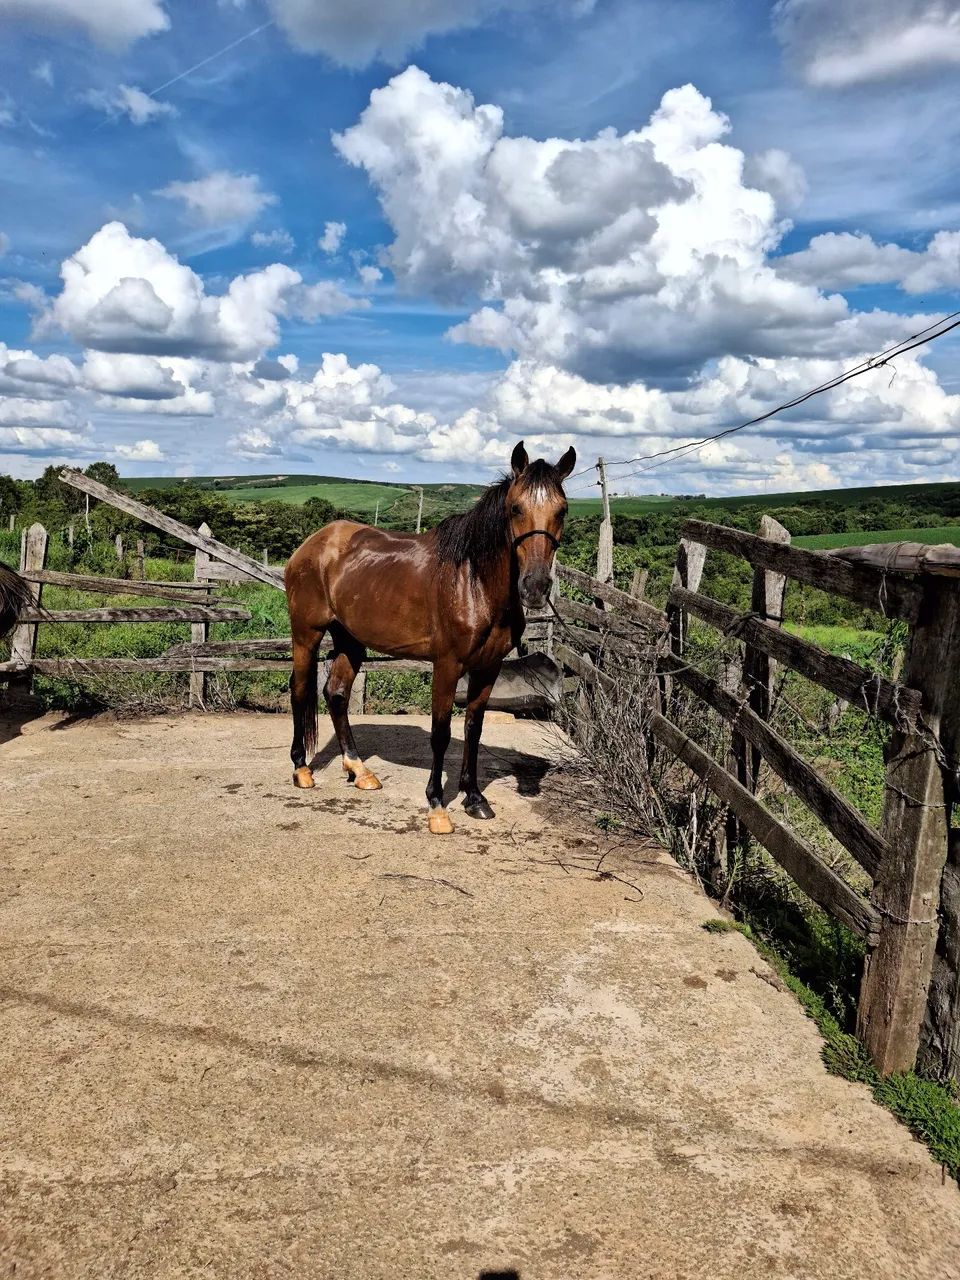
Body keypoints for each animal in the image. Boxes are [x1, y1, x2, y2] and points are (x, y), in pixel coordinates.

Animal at [284, 440, 575, 834]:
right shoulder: (447, 665)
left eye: (562, 510)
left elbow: (473, 728)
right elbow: (441, 733)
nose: (535, 587)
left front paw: (474, 798)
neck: (474, 582)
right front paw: (437, 805)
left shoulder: (488, 667)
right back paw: (302, 769)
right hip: (307, 634)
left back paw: (359, 770)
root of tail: (313, 543)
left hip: (351, 640)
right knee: (300, 690)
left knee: (337, 694)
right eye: (516, 508)